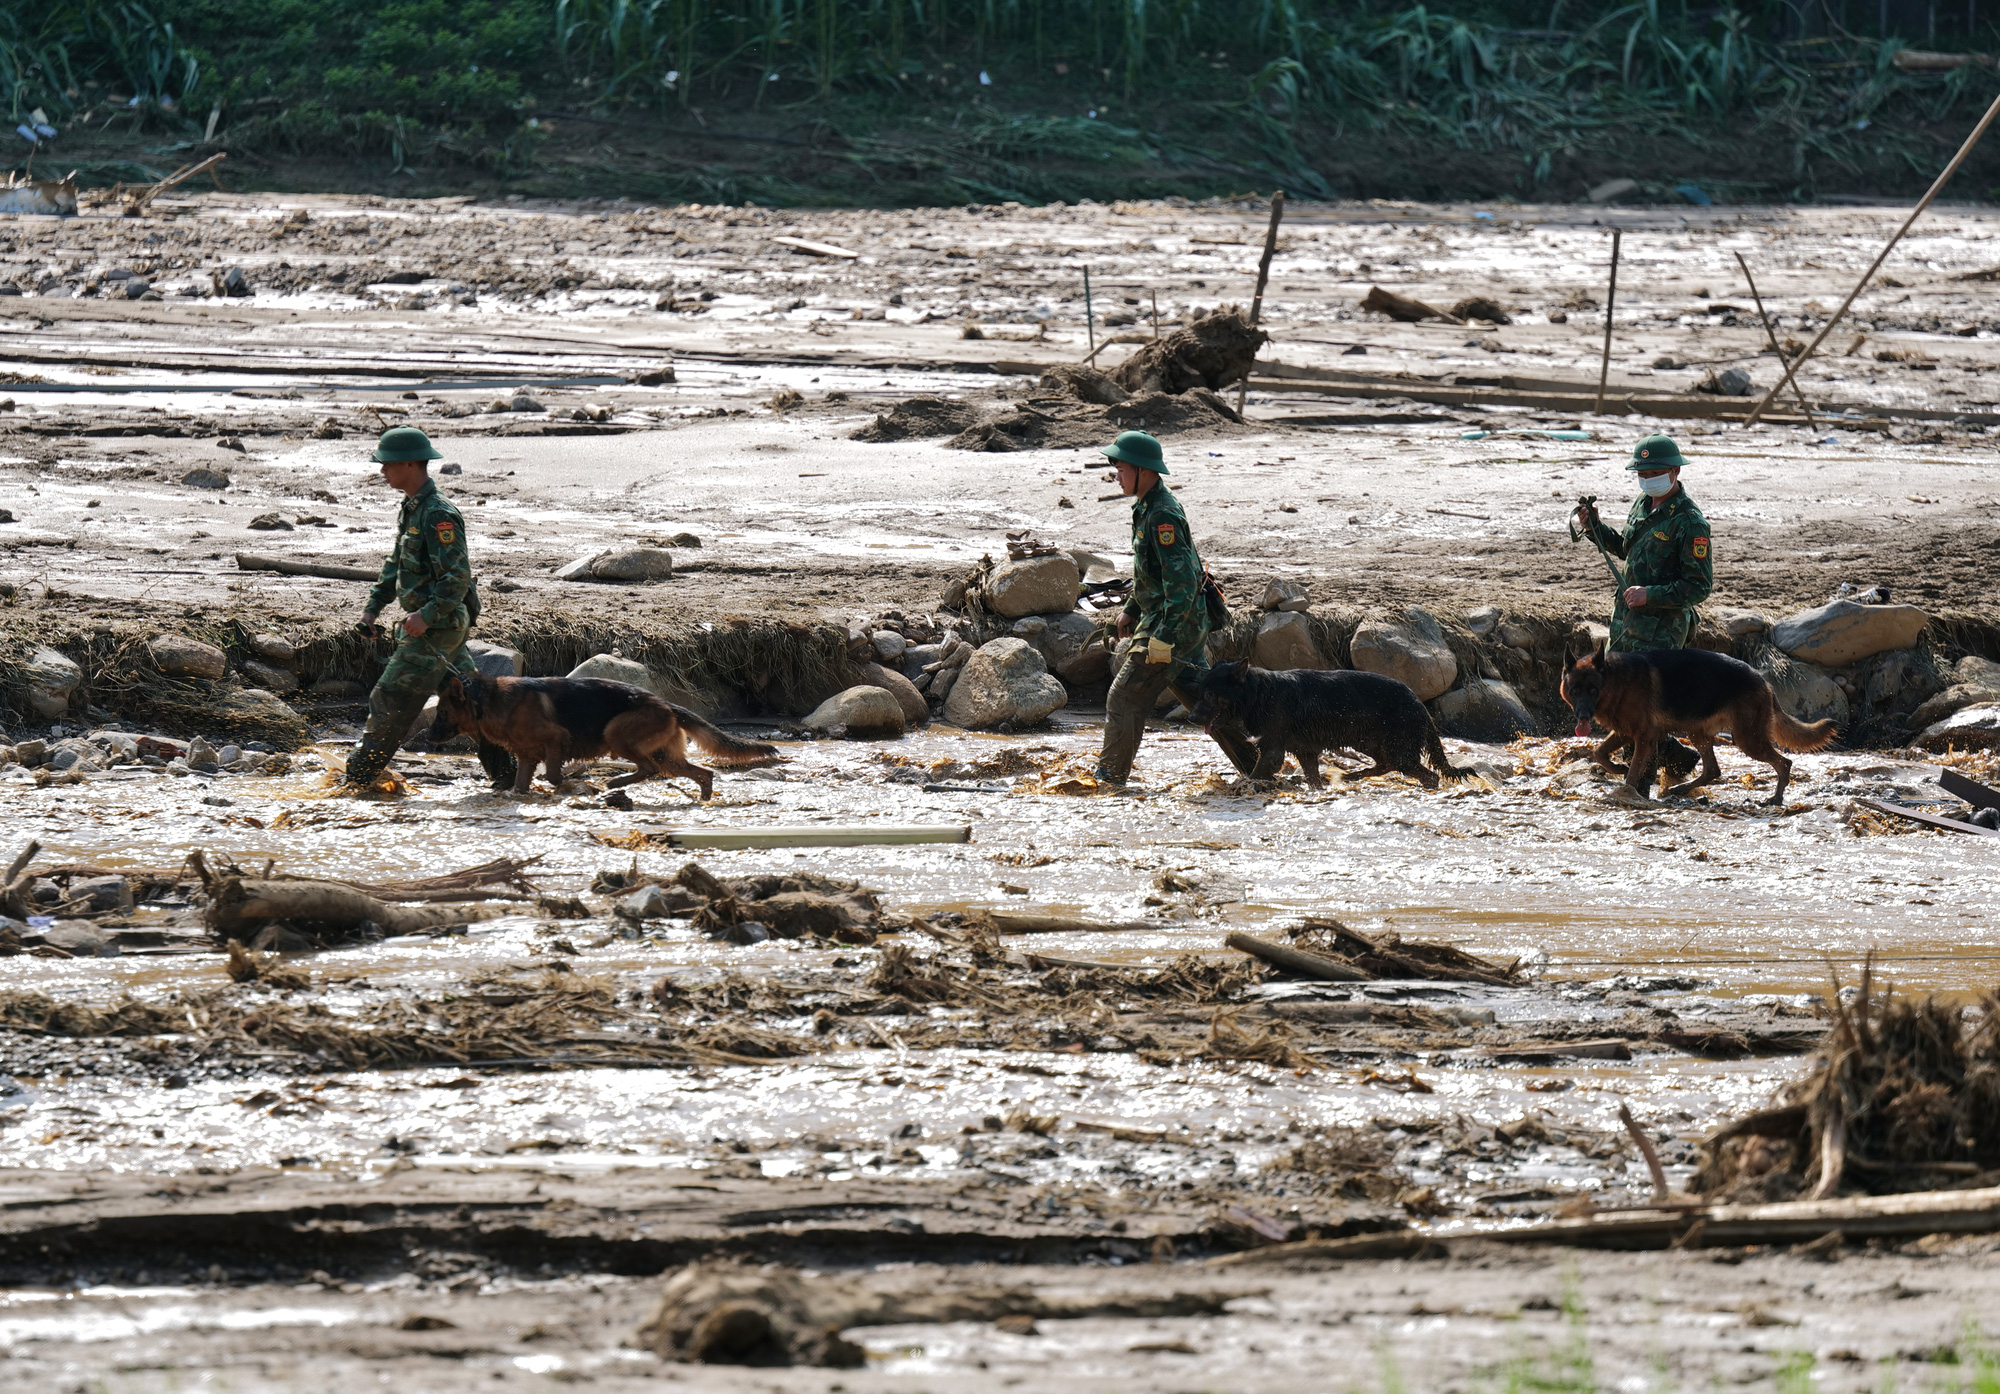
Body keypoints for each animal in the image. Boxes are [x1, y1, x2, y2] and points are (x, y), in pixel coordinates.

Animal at [438, 672, 780, 800]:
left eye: (440, 712)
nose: (430, 735)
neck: (486, 702)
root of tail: (665, 703)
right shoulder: (526, 757)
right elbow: (522, 785)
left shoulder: (556, 739)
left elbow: (553, 775)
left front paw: (574, 784)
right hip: (668, 757)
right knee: (702, 773)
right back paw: (704, 798)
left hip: (617, 735)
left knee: (649, 768)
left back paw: (614, 783)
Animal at [1192, 660, 1480, 788]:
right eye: (1200, 691)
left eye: (1210, 693)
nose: (1191, 718)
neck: (1258, 693)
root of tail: (1419, 704)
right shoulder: (1306, 752)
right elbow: (1313, 779)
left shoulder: (1272, 751)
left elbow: (1256, 773)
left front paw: (1239, 787)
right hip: (1371, 742)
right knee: (1385, 764)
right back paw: (1354, 775)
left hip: (1396, 748)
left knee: (1428, 775)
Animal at [1568, 636, 1832, 800]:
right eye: (1574, 691)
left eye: (1592, 690)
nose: (1582, 716)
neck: (1616, 680)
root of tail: (1763, 680)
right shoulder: (1625, 731)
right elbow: (1598, 752)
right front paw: (1617, 768)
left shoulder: (1644, 736)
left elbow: (1634, 771)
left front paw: (1627, 793)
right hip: (1699, 733)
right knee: (1713, 770)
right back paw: (1681, 789)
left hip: (1749, 740)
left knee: (1784, 763)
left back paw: (1776, 797)